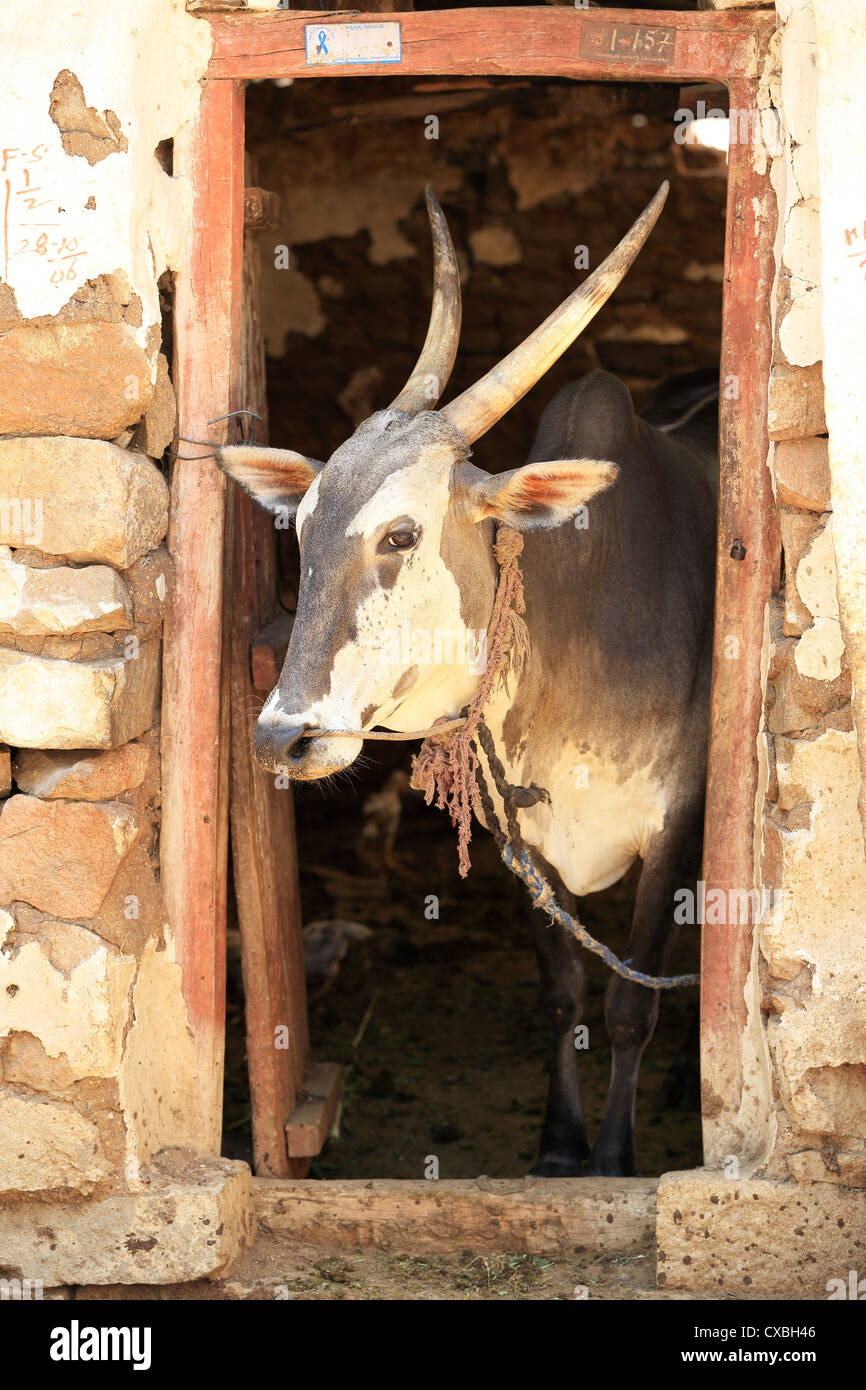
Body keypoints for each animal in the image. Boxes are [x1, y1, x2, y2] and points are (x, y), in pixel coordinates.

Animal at [218, 182, 717, 1173]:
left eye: (402, 534)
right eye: (300, 528)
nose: (282, 736)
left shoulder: (672, 828)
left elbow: (630, 1002)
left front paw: (611, 1157)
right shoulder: (518, 836)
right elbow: (563, 994)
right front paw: (559, 1147)